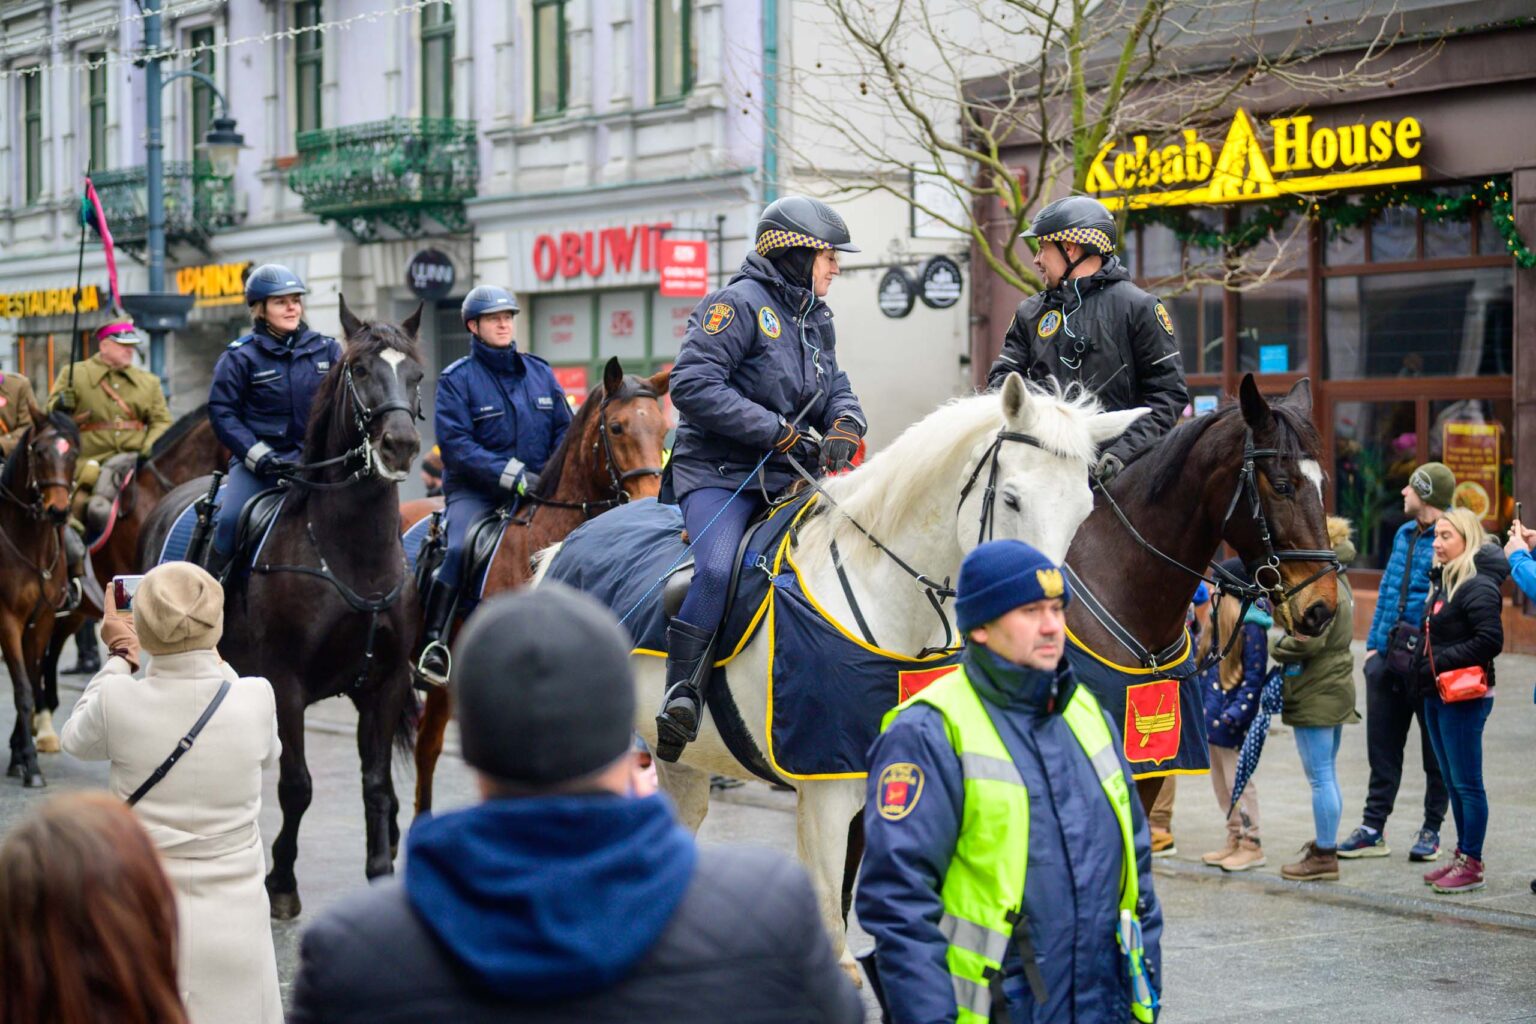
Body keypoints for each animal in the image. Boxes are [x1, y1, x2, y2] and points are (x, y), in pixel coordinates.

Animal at [142, 297, 427, 921]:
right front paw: (281, 882)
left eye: (417, 374)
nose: (400, 445)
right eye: (360, 370)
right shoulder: (286, 682)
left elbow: (375, 783)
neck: (349, 554)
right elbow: (297, 785)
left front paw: (379, 871)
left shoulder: (387, 682)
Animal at [531, 376, 1142, 976]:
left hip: (680, 760)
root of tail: (562, 550)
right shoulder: (825, 796)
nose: (1048, 632)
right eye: (1012, 498)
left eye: (1084, 510)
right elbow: (836, 934)